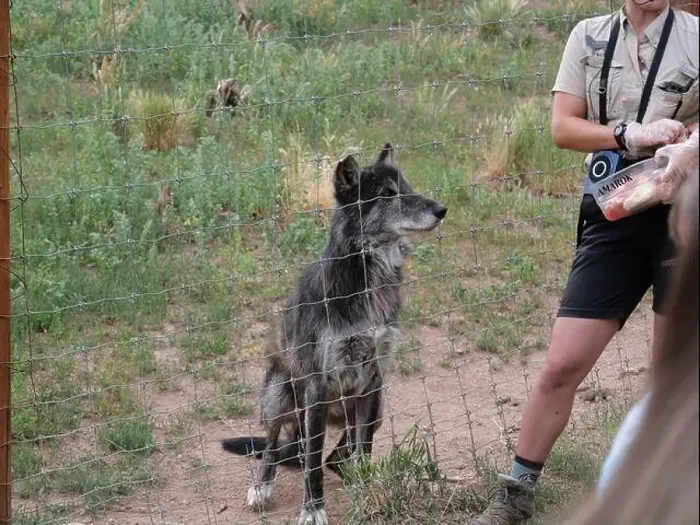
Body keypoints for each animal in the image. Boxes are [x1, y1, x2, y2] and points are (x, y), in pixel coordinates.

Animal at [221, 143, 448, 525]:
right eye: (387, 194)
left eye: (407, 186)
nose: (442, 210)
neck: (369, 276)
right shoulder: (318, 386)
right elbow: (312, 465)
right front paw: (313, 510)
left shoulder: (373, 380)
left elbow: (362, 449)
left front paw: (368, 488)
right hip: (279, 396)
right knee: (277, 446)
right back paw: (262, 485)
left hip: (377, 405)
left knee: (337, 455)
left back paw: (350, 474)